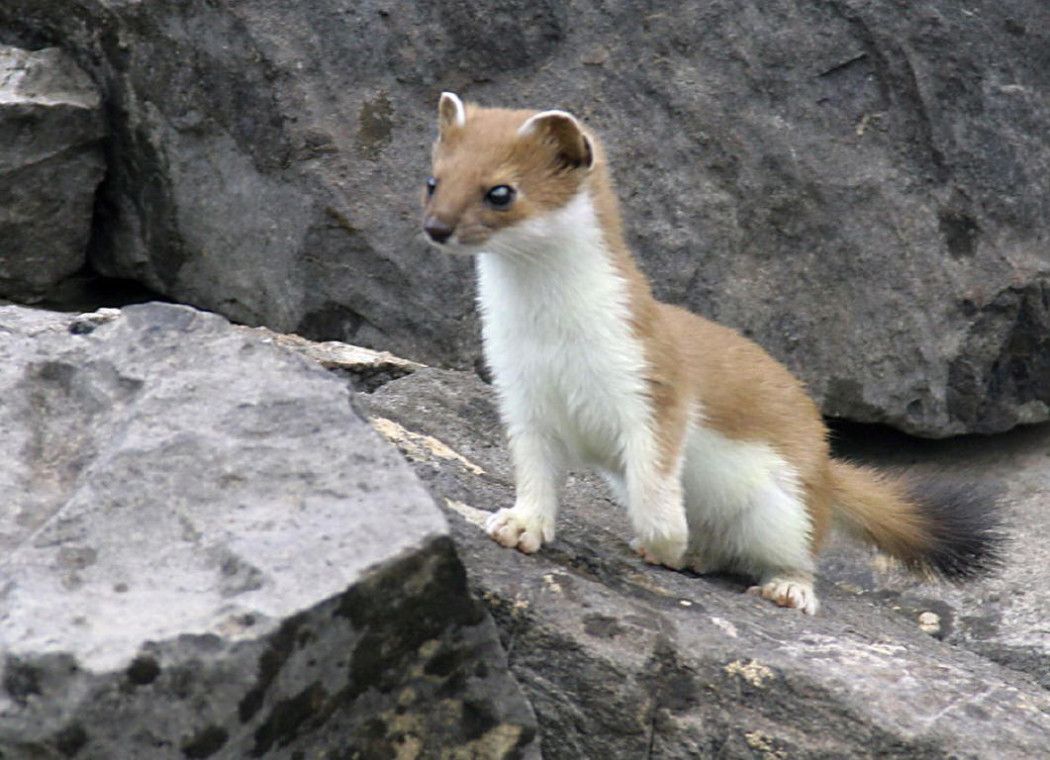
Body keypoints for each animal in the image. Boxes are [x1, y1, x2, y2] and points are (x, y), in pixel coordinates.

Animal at [417, 91, 999, 613]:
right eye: (433, 180)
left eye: (500, 191)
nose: (436, 226)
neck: (550, 339)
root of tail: (825, 469)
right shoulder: (519, 392)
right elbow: (535, 472)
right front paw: (520, 525)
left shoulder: (652, 378)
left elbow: (656, 471)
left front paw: (665, 538)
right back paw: (696, 554)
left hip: (784, 503)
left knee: (802, 549)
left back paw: (783, 587)